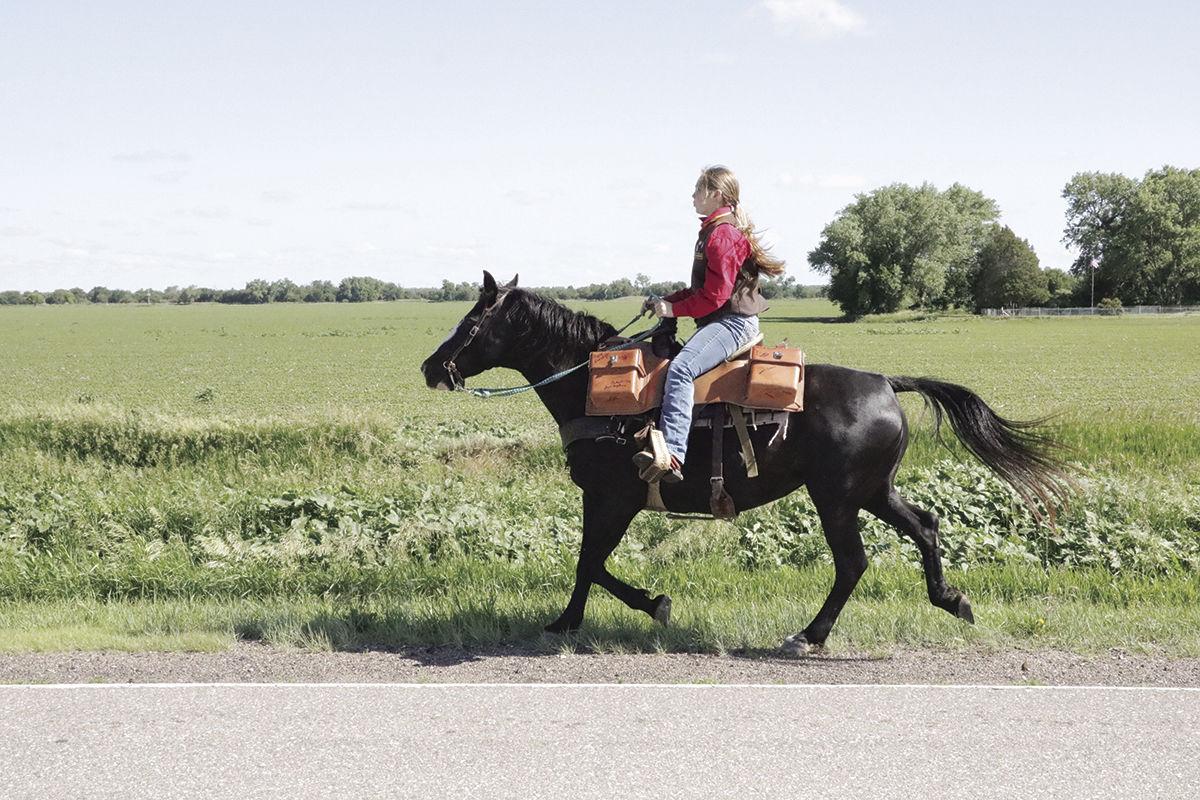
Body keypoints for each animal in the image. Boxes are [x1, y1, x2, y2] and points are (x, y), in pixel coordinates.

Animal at [422, 273, 1070, 657]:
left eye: (472, 321)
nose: (431, 367)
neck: (593, 385)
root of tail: (887, 381)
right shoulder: (602, 498)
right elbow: (588, 563)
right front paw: (580, 618)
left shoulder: (616, 497)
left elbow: (592, 563)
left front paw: (636, 608)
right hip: (872, 491)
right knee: (927, 527)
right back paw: (951, 600)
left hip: (837, 498)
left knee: (852, 563)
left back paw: (809, 636)